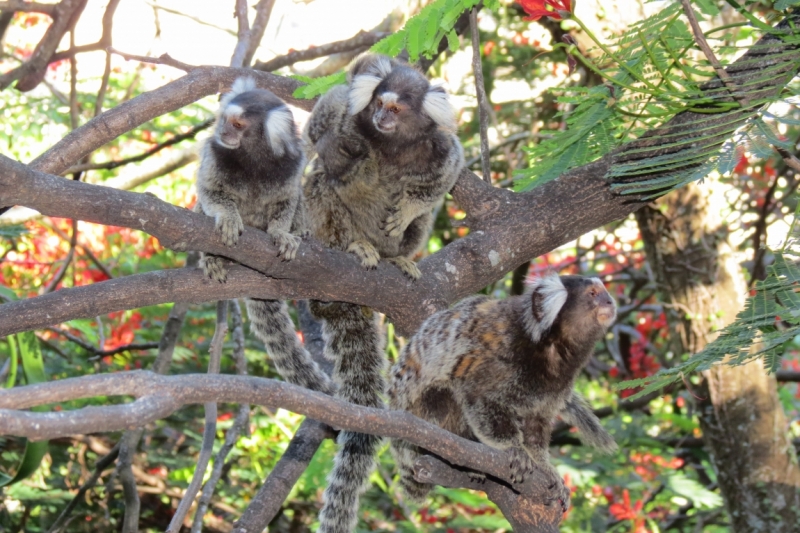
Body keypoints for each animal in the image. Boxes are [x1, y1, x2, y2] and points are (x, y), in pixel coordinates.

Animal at [195, 78, 332, 394]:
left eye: (237, 124)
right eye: (224, 120)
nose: (222, 132)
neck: (253, 157)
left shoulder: (291, 165)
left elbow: (288, 201)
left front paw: (283, 233)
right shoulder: (214, 156)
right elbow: (210, 192)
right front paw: (229, 219)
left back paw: (301, 231)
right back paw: (214, 259)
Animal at [304, 55, 466, 532]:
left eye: (396, 109)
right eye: (379, 103)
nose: (380, 117)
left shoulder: (440, 146)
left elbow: (443, 179)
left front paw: (410, 206)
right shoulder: (344, 116)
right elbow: (320, 132)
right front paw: (338, 150)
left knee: (419, 221)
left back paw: (398, 257)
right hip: (327, 229)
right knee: (320, 185)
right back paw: (354, 246)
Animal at [388, 272, 620, 510]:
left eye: (604, 292)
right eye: (593, 294)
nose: (609, 302)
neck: (548, 345)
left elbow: (535, 426)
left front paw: (544, 466)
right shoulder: (494, 355)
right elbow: (478, 398)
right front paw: (513, 448)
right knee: (443, 394)